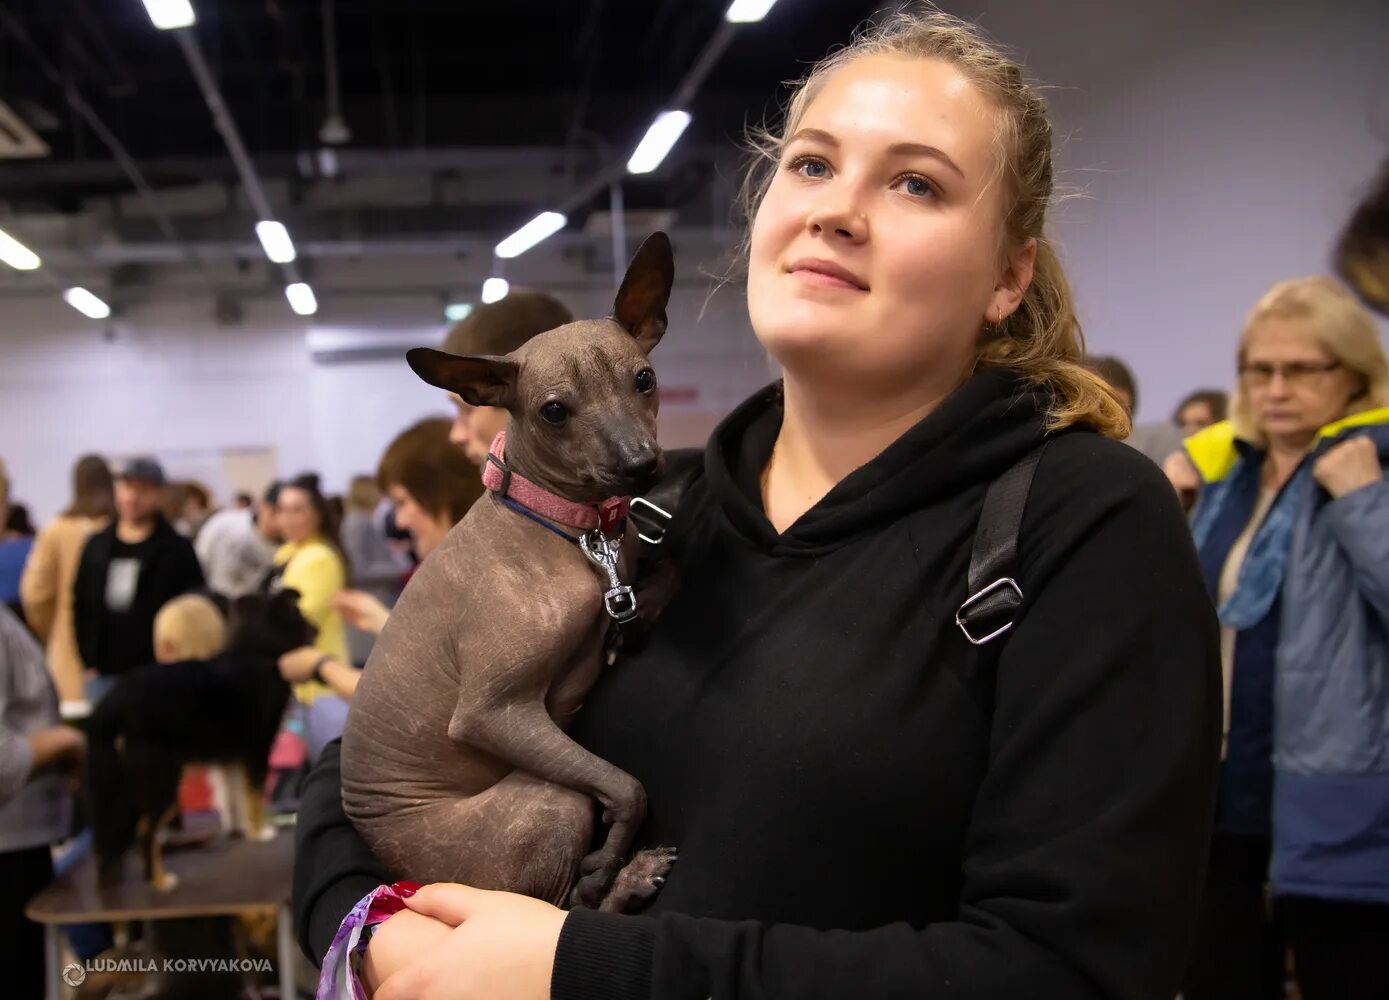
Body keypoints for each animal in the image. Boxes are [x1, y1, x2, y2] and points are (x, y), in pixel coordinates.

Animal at [86, 588, 315, 888]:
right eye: (300, 616)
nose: (317, 628)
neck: (255, 652)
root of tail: (115, 698)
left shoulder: (230, 757)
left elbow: (232, 796)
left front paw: (238, 828)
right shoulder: (257, 749)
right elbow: (253, 795)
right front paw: (259, 832)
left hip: (122, 779)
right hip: (162, 776)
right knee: (146, 829)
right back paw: (160, 880)